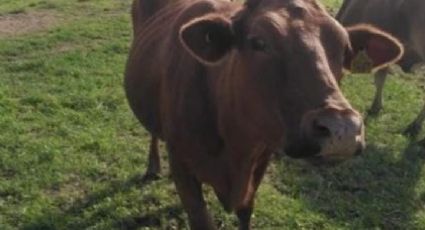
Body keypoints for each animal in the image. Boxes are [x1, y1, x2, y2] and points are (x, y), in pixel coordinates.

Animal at [124, 0, 402, 228]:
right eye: (258, 42)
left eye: (345, 50)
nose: (341, 129)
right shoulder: (182, 166)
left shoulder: (260, 161)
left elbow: (246, 211)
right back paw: (153, 166)